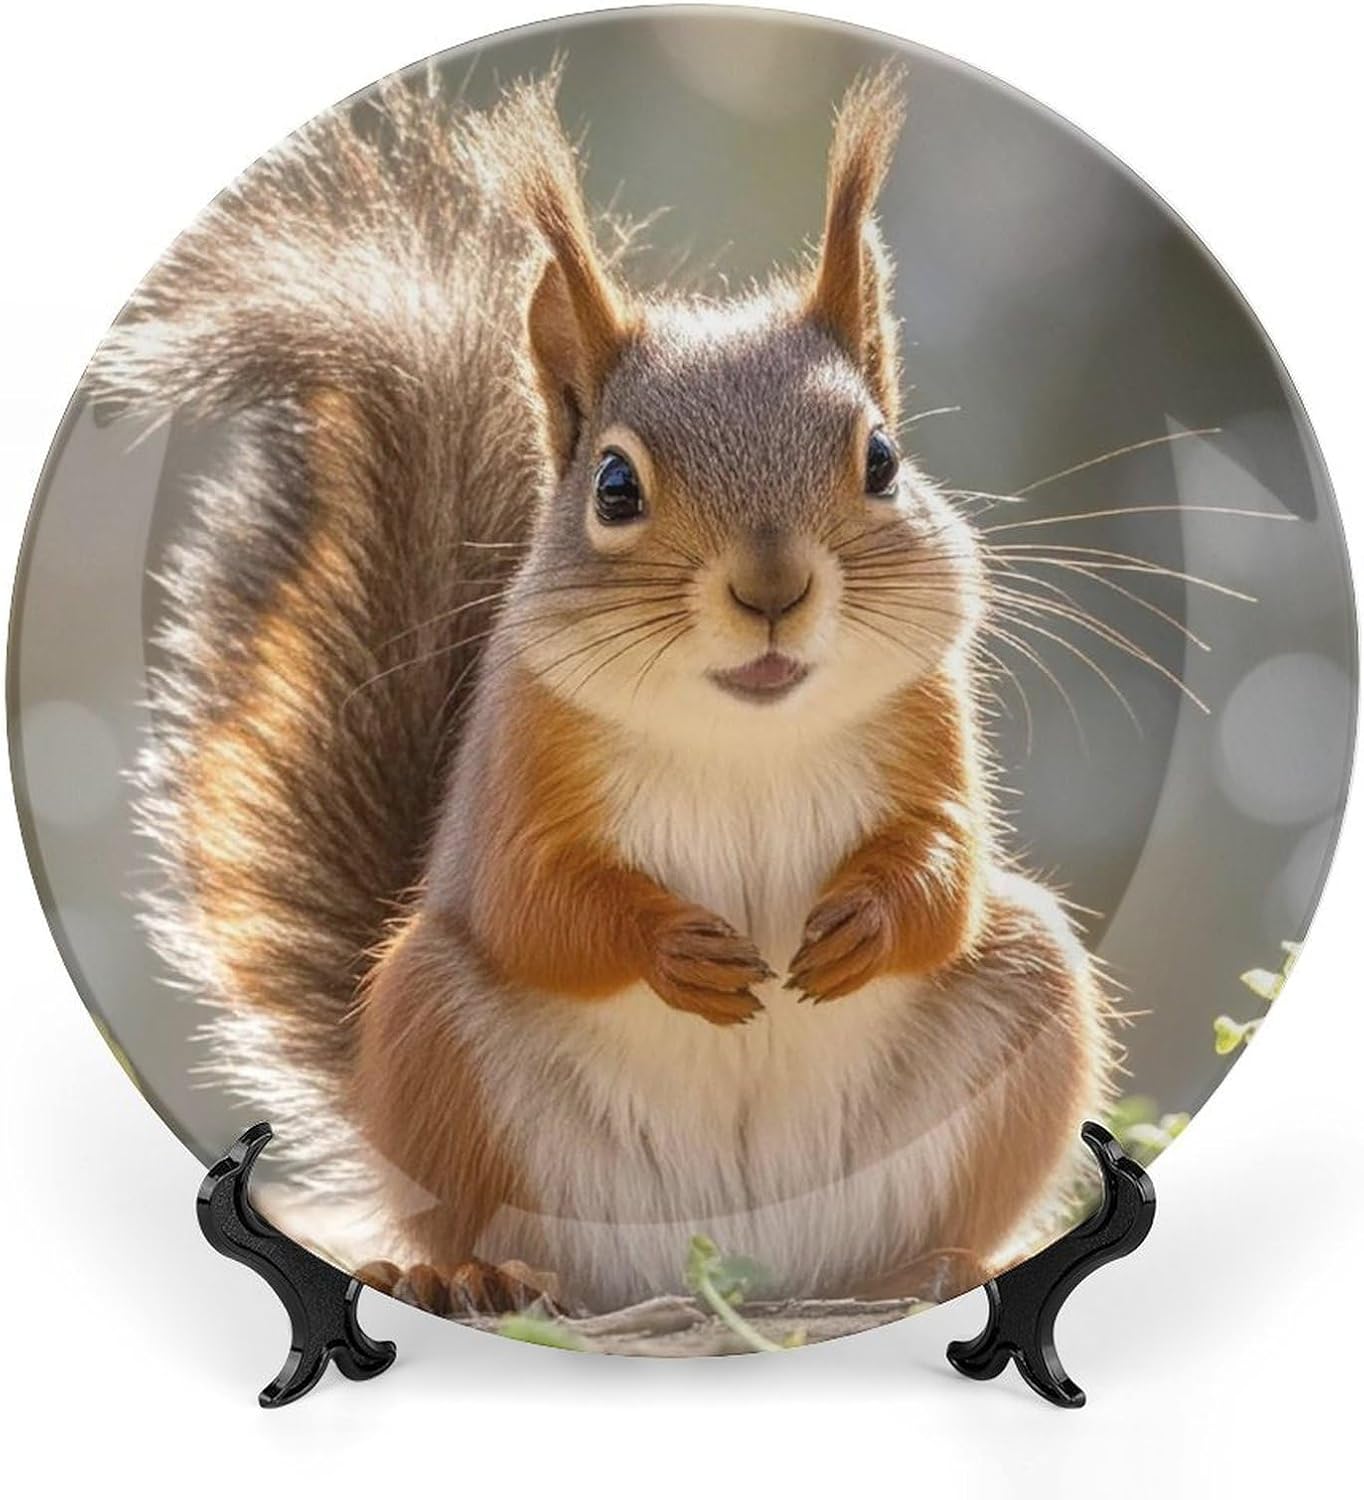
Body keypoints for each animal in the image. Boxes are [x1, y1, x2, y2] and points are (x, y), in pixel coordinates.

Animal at [90, 65, 1113, 1316]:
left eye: (880, 460)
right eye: (614, 486)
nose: (771, 589)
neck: (742, 733)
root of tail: (737, 1270)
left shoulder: (928, 725)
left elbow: (947, 870)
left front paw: (865, 919)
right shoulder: (521, 764)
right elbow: (533, 906)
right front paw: (672, 948)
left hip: (1021, 1000)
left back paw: (946, 1264)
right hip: (438, 1036)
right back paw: (471, 1277)